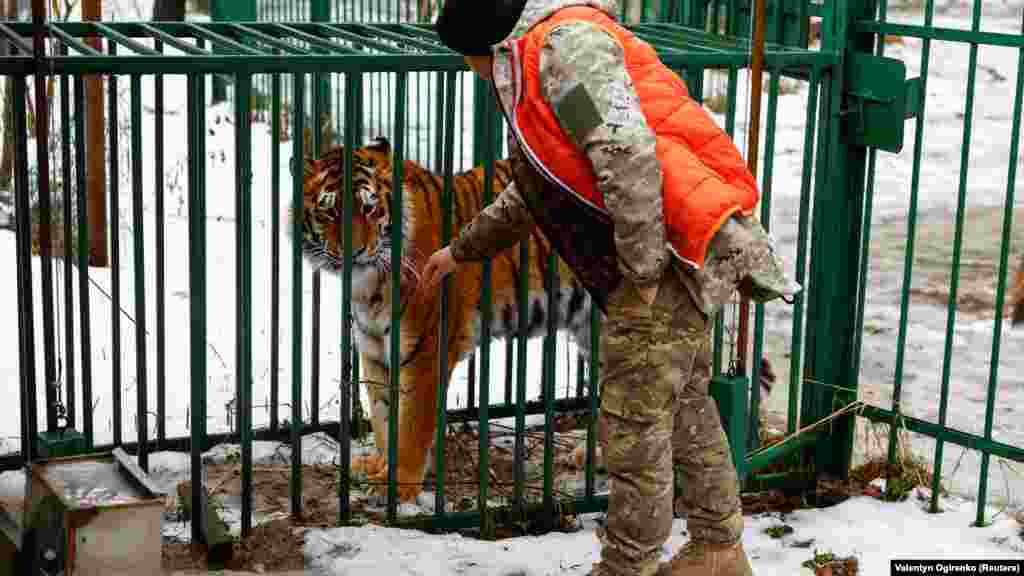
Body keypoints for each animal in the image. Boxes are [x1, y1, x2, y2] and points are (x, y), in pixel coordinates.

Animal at [296, 136, 593, 500]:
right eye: (329, 211)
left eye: (368, 208)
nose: (354, 253)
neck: (369, 285)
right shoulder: (374, 350)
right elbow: (383, 416)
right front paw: (378, 466)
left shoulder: (425, 351)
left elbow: (411, 425)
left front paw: (398, 484)